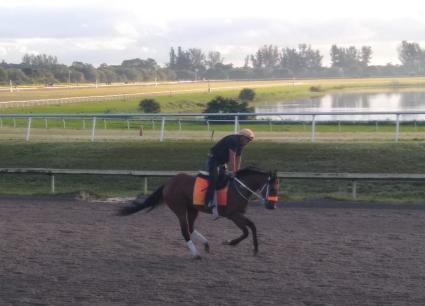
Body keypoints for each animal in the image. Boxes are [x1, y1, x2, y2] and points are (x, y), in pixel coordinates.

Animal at [117, 167, 280, 258]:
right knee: (185, 231)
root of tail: (168, 182)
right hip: (180, 209)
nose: (272, 206)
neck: (239, 188)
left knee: (190, 228)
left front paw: (255, 249)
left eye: (277, 188)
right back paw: (195, 254)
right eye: (272, 188)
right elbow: (246, 231)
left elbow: (252, 226)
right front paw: (229, 242)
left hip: (193, 209)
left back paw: (206, 244)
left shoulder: (238, 214)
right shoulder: (233, 215)